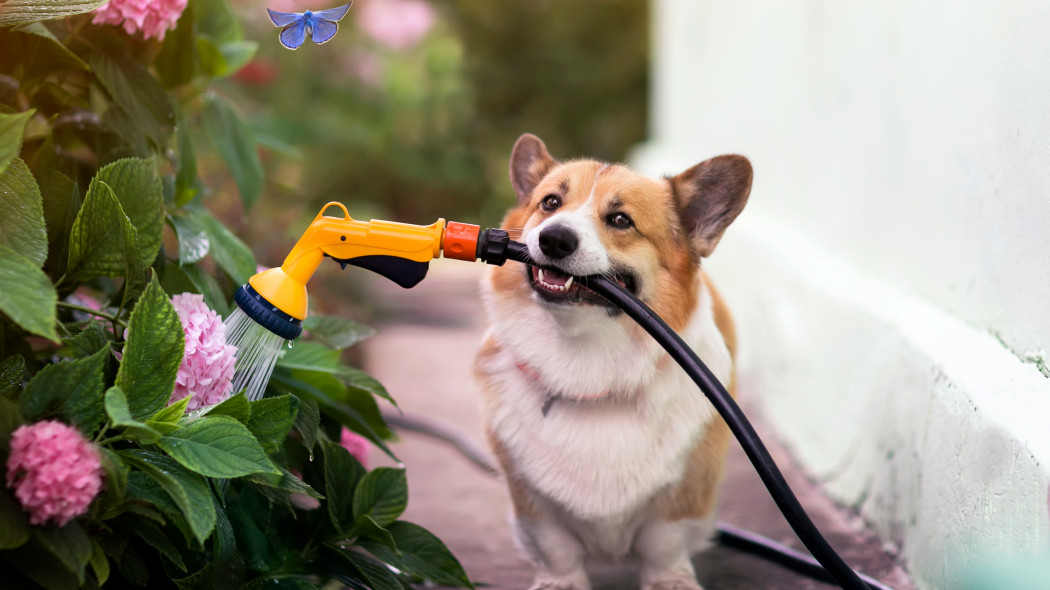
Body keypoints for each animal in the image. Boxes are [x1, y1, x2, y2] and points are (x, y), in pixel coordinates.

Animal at [472, 134, 751, 587]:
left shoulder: (683, 497)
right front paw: (560, 582)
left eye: (621, 220)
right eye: (550, 203)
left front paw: (670, 581)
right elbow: (556, 548)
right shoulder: (530, 501)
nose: (554, 239)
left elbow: (663, 544)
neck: (585, 363)